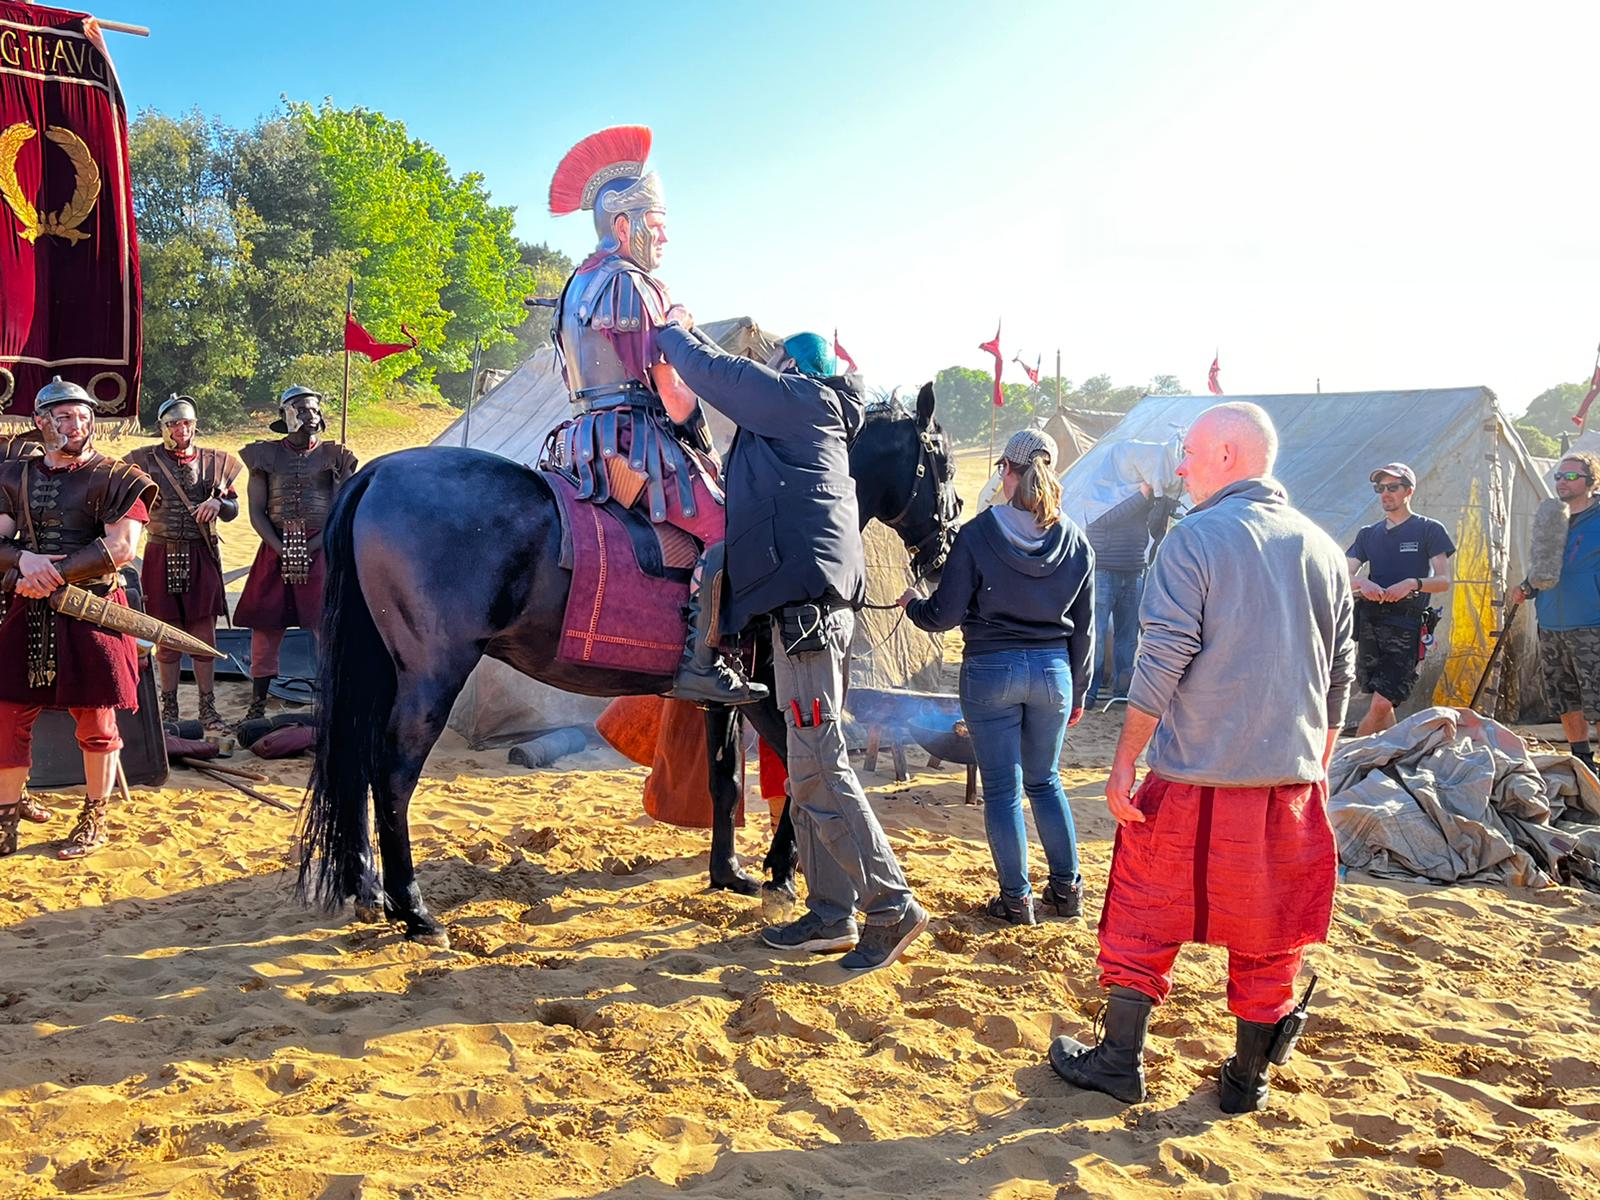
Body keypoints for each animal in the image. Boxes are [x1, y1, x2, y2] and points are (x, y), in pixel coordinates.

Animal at [297, 385, 960, 940]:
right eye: (945, 465)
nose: (943, 552)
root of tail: (377, 473)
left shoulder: (725, 696)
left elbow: (725, 780)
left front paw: (731, 873)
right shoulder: (776, 693)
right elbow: (798, 774)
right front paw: (780, 872)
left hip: (382, 669)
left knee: (356, 762)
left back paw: (366, 886)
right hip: (433, 675)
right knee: (393, 773)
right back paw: (412, 907)